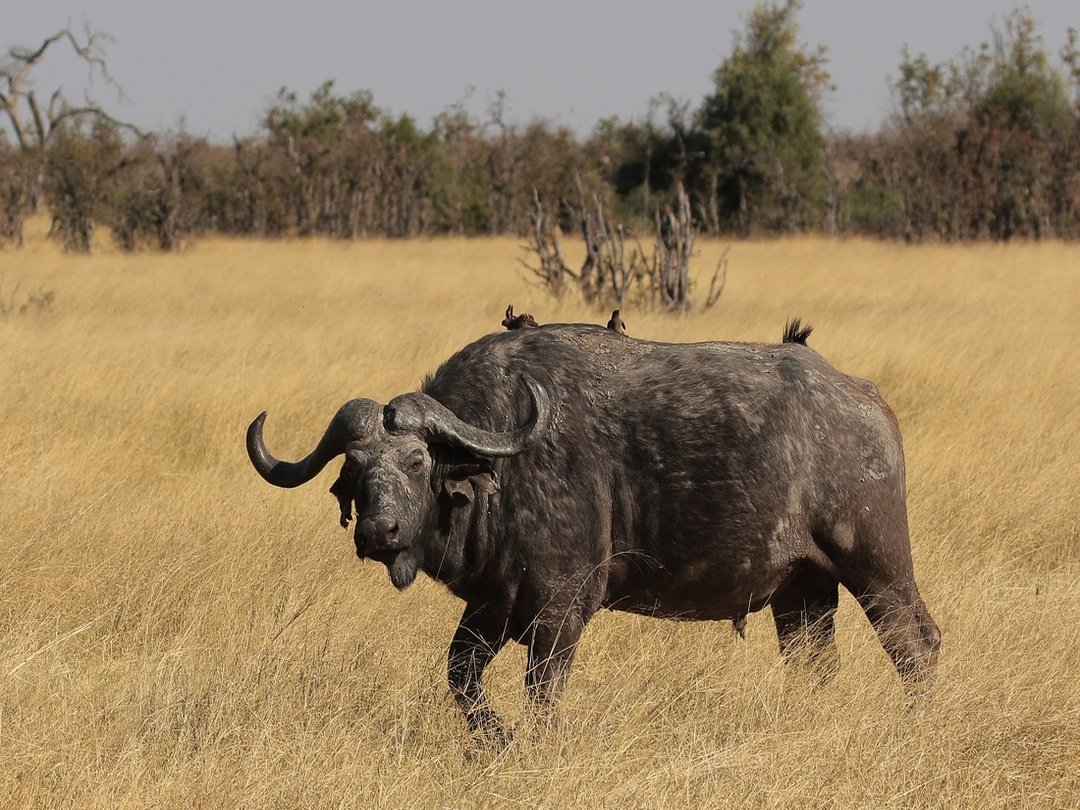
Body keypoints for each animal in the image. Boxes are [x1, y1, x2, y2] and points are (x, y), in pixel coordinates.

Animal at [247, 321, 940, 740]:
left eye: (417, 462)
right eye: (355, 469)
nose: (379, 532)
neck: (502, 469)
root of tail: (865, 399)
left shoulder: (560, 611)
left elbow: (542, 694)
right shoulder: (492, 604)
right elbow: (460, 678)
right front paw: (494, 741)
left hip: (876, 566)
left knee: (916, 643)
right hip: (802, 593)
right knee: (814, 664)